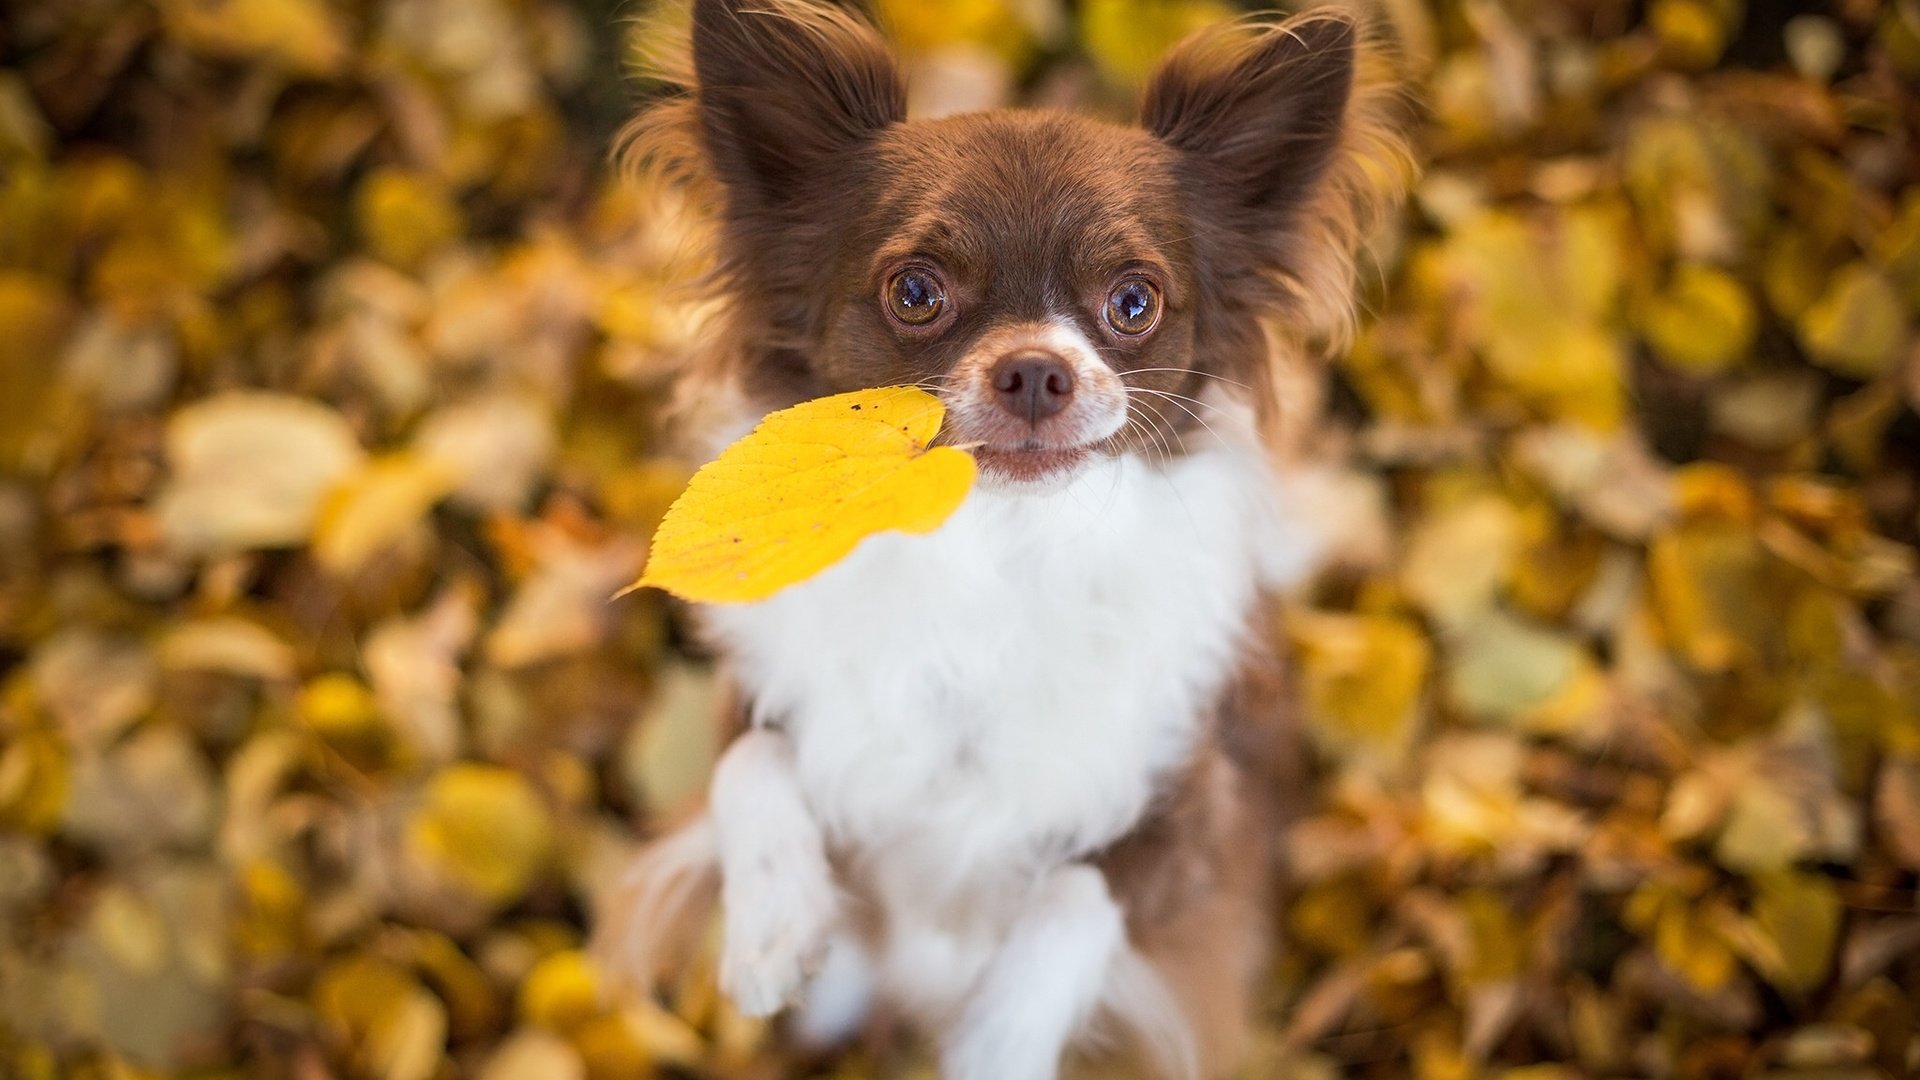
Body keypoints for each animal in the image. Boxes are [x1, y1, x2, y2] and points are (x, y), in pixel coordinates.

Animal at [599, 4, 1413, 1068]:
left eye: (1135, 302)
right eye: (914, 292)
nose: (1034, 368)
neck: (999, 549)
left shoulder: (1192, 818)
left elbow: (1081, 890)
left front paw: (998, 1042)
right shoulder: (774, 694)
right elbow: (750, 761)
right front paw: (773, 927)